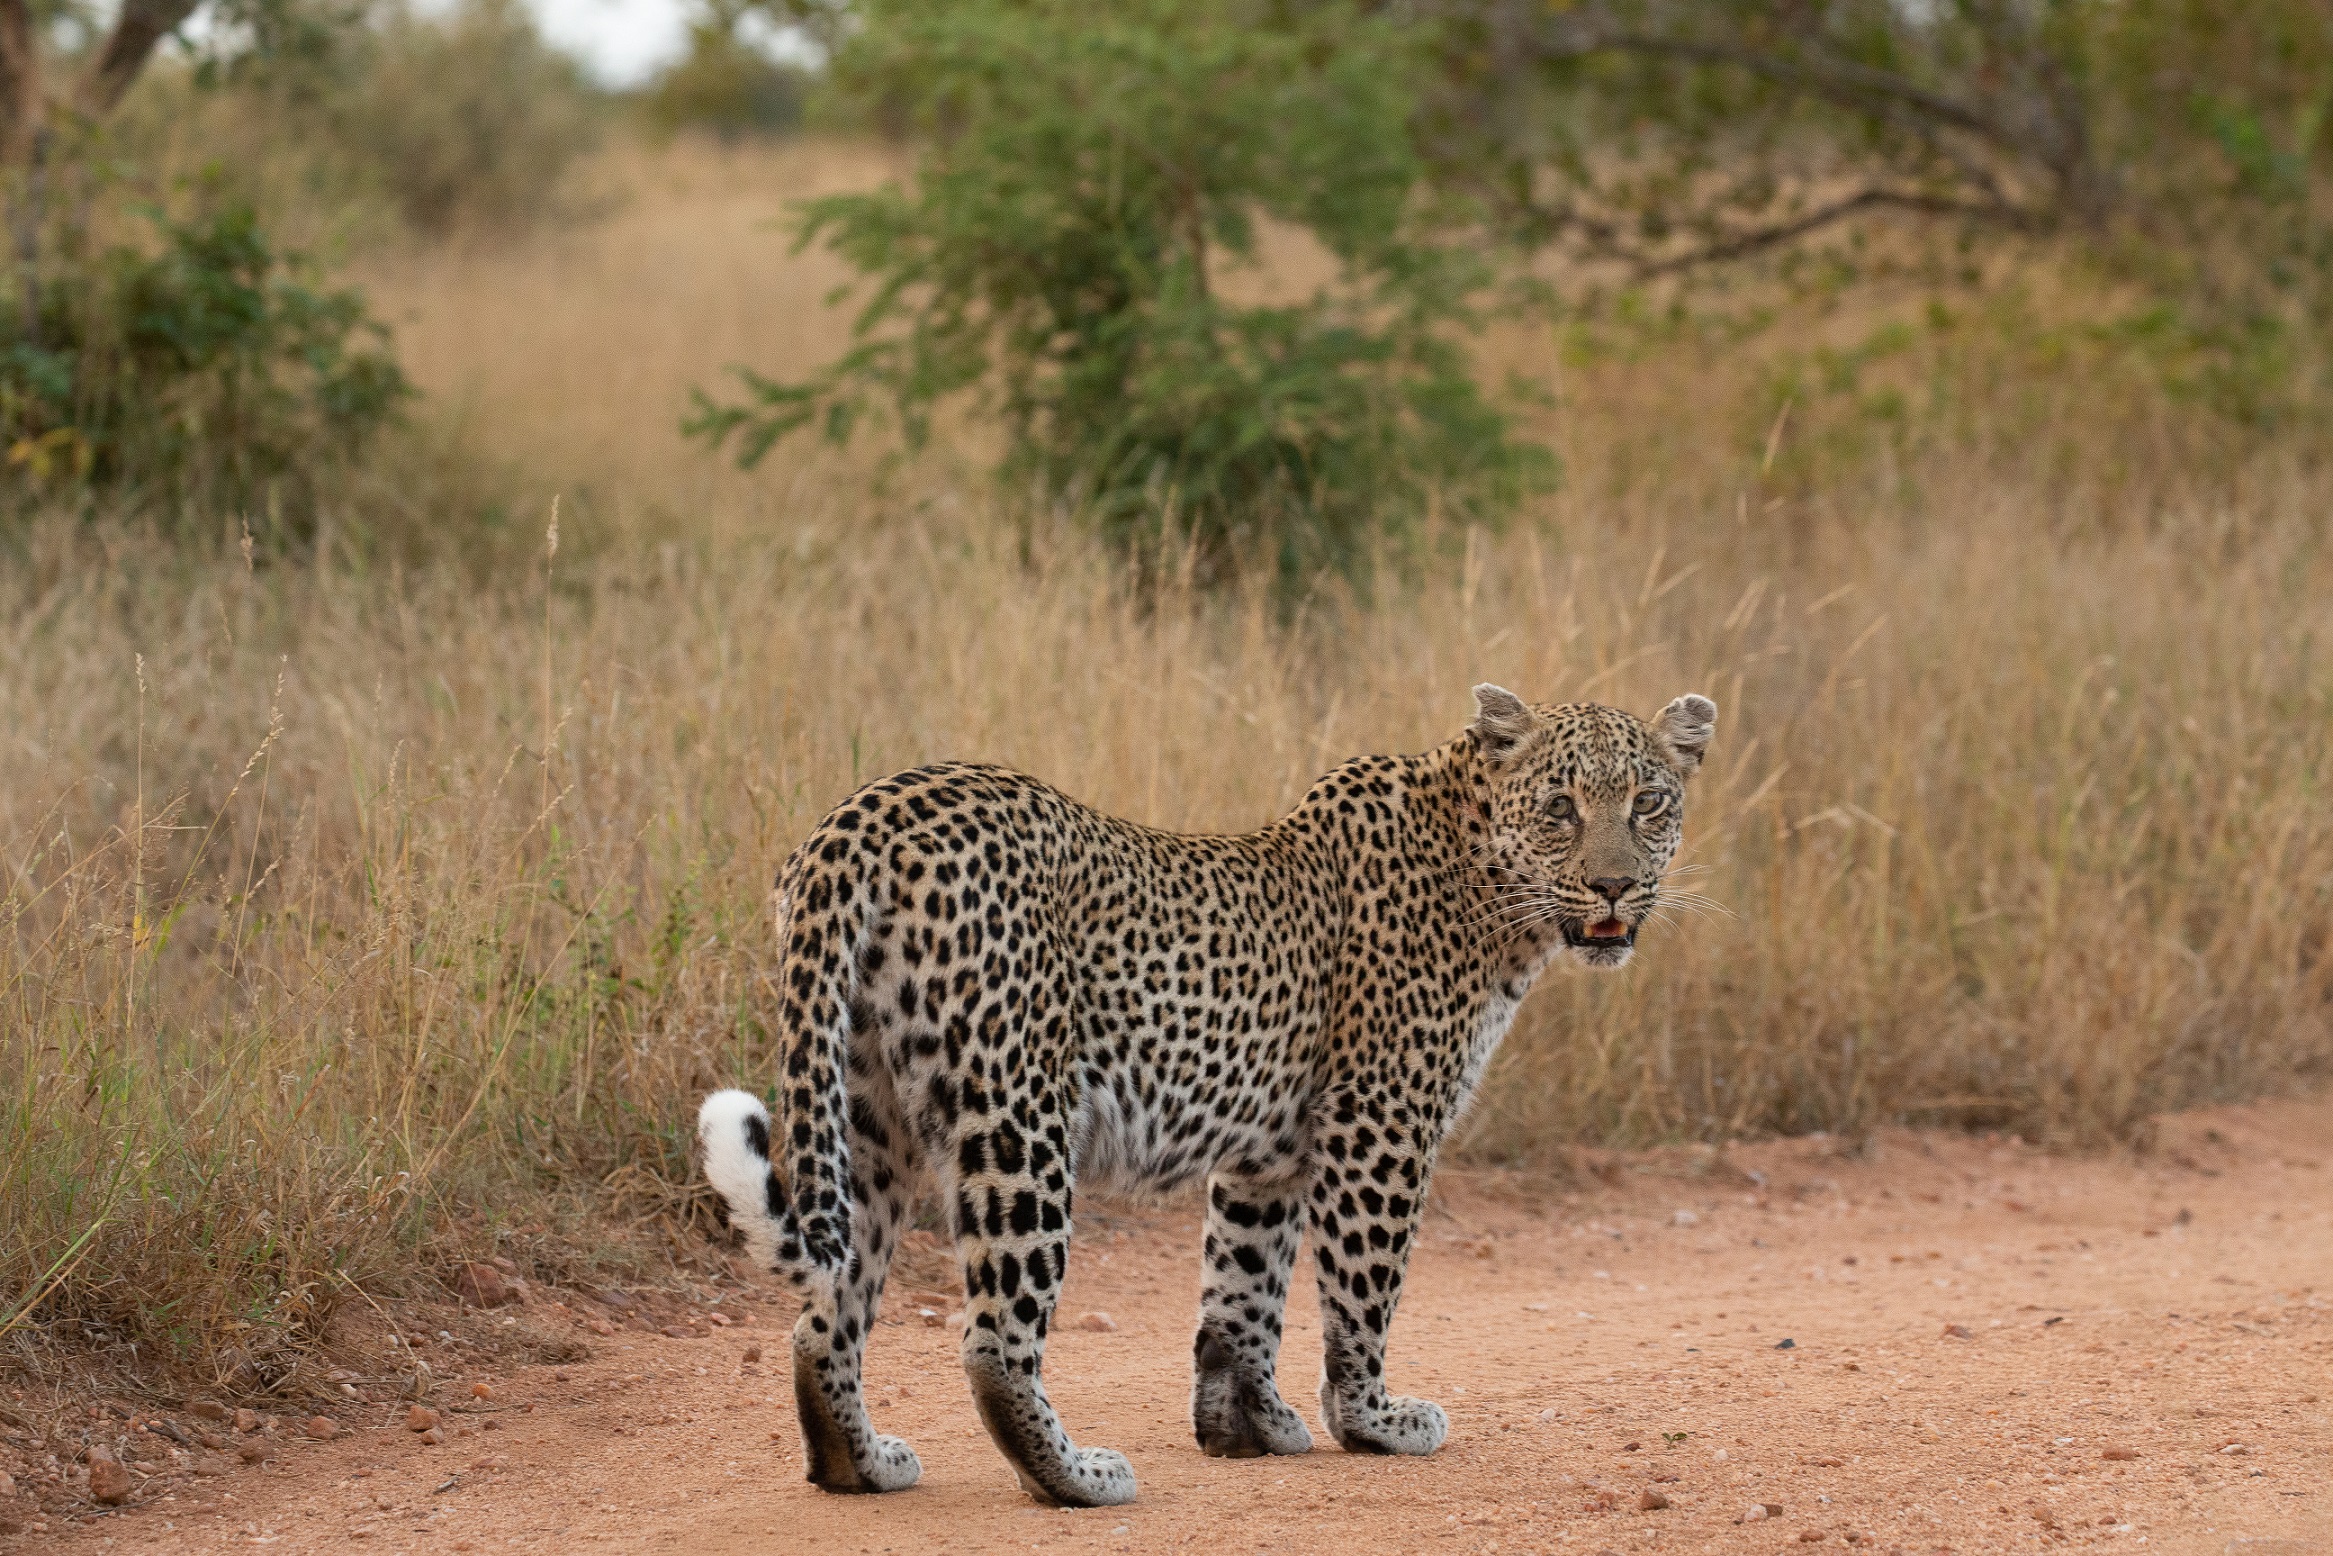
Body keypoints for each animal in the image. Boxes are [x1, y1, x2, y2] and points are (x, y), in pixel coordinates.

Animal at [697, 684, 1718, 1508]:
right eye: (1559, 807)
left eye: (1648, 802)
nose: (1614, 887)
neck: (1491, 891)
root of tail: (862, 816)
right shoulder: (1380, 1123)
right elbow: (1363, 1289)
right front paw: (1373, 1420)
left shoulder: (1268, 1152)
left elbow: (1241, 1293)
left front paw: (1245, 1426)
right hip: (1018, 1111)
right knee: (993, 1340)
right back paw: (1076, 1477)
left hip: (864, 1113)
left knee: (826, 1309)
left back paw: (859, 1464)